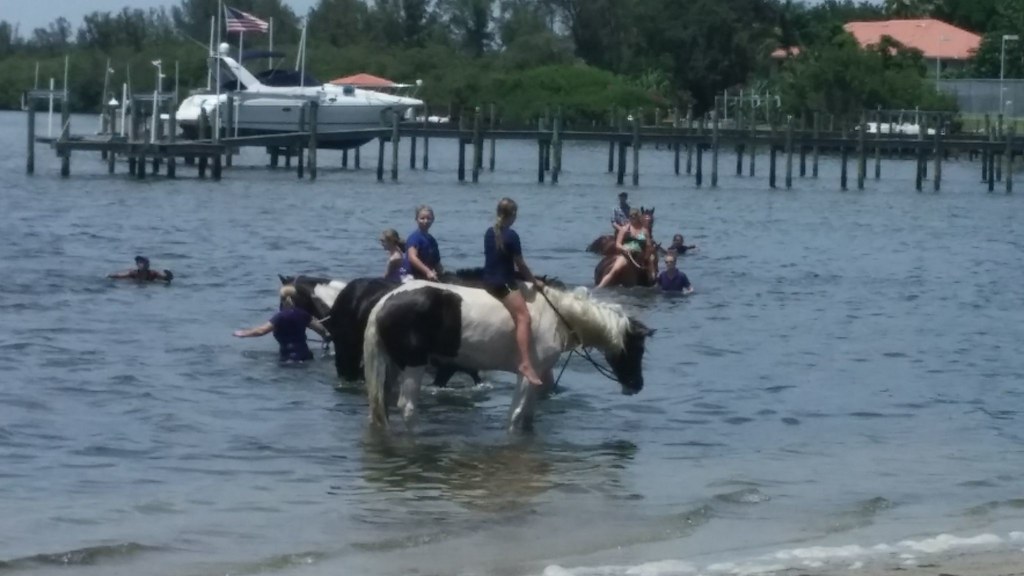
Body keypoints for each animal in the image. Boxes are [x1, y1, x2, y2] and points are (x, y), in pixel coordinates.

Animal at [363, 280, 652, 431]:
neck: (558, 317)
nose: (637, 385)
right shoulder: (527, 376)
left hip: (391, 367)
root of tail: (385, 302)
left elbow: (528, 418)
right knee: (407, 408)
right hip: (413, 366)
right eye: (637, 348)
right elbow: (516, 416)